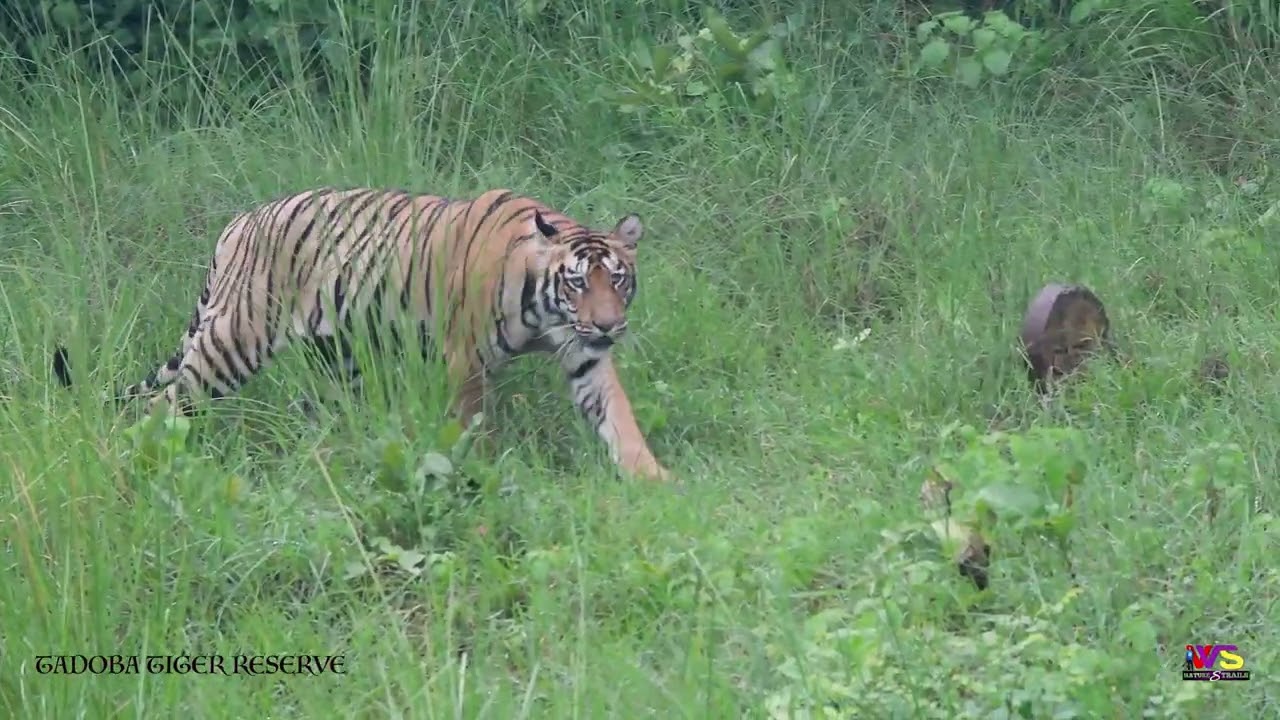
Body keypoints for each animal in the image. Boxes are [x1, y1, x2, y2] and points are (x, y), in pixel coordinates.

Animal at [51, 187, 671, 482]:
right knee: (163, 403)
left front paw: (654, 479)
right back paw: (141, 458)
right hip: (232, 343)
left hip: (335, 356)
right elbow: (470, 425)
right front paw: (479, 469)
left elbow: (619, 419)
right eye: (577, 282)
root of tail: (238, 224)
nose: (609, 325)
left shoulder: (584, 356)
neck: (547, 310)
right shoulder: (465, 358)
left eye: (617, 280)